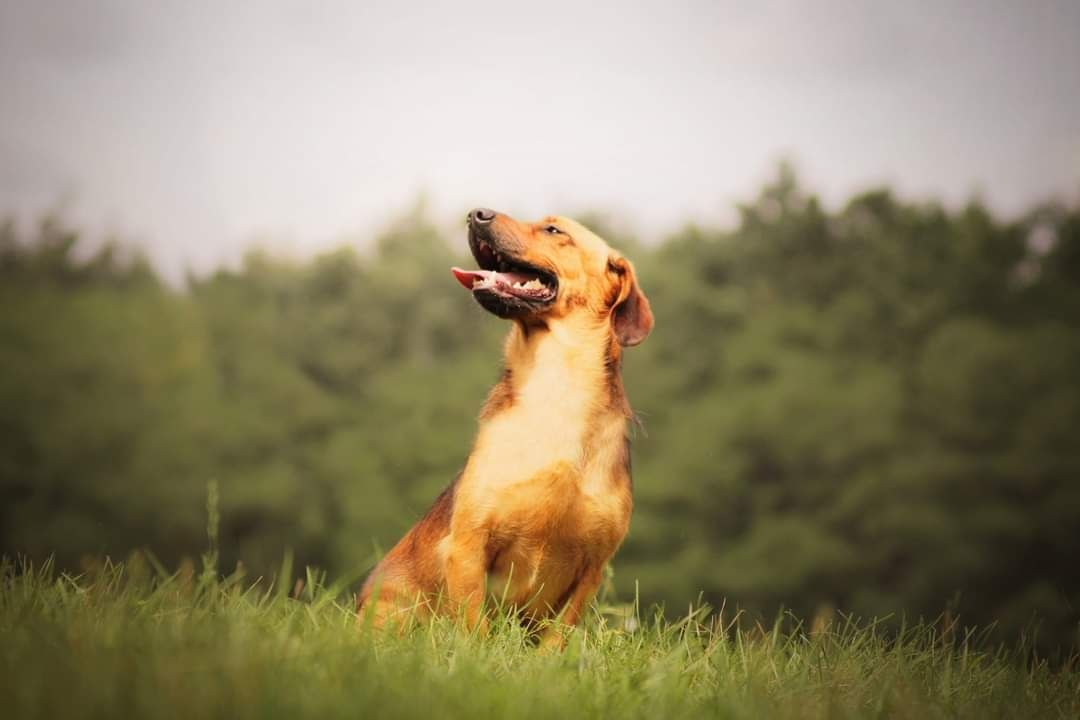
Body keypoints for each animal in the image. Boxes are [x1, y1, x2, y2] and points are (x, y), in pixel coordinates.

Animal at [358, 208, 652, 647]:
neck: (556, 391)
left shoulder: (592, 568)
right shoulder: (467, 544)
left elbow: (555, 640)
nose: (475, 213)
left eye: (553, 229)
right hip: (392, 612)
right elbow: (474, 627)